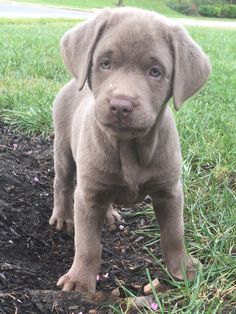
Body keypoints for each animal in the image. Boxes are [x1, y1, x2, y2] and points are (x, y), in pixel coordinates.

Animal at [48, 7, 211, 292]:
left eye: (155, 71)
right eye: (105, 63)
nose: (120, 105)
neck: (129, 148)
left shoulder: (170, 191)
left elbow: (174, 233)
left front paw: (183, 268)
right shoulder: (88, 196)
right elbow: (88, 244)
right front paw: (79, 281)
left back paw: (110, 214)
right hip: (64, 150)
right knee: (63, 183)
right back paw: (63, 217)